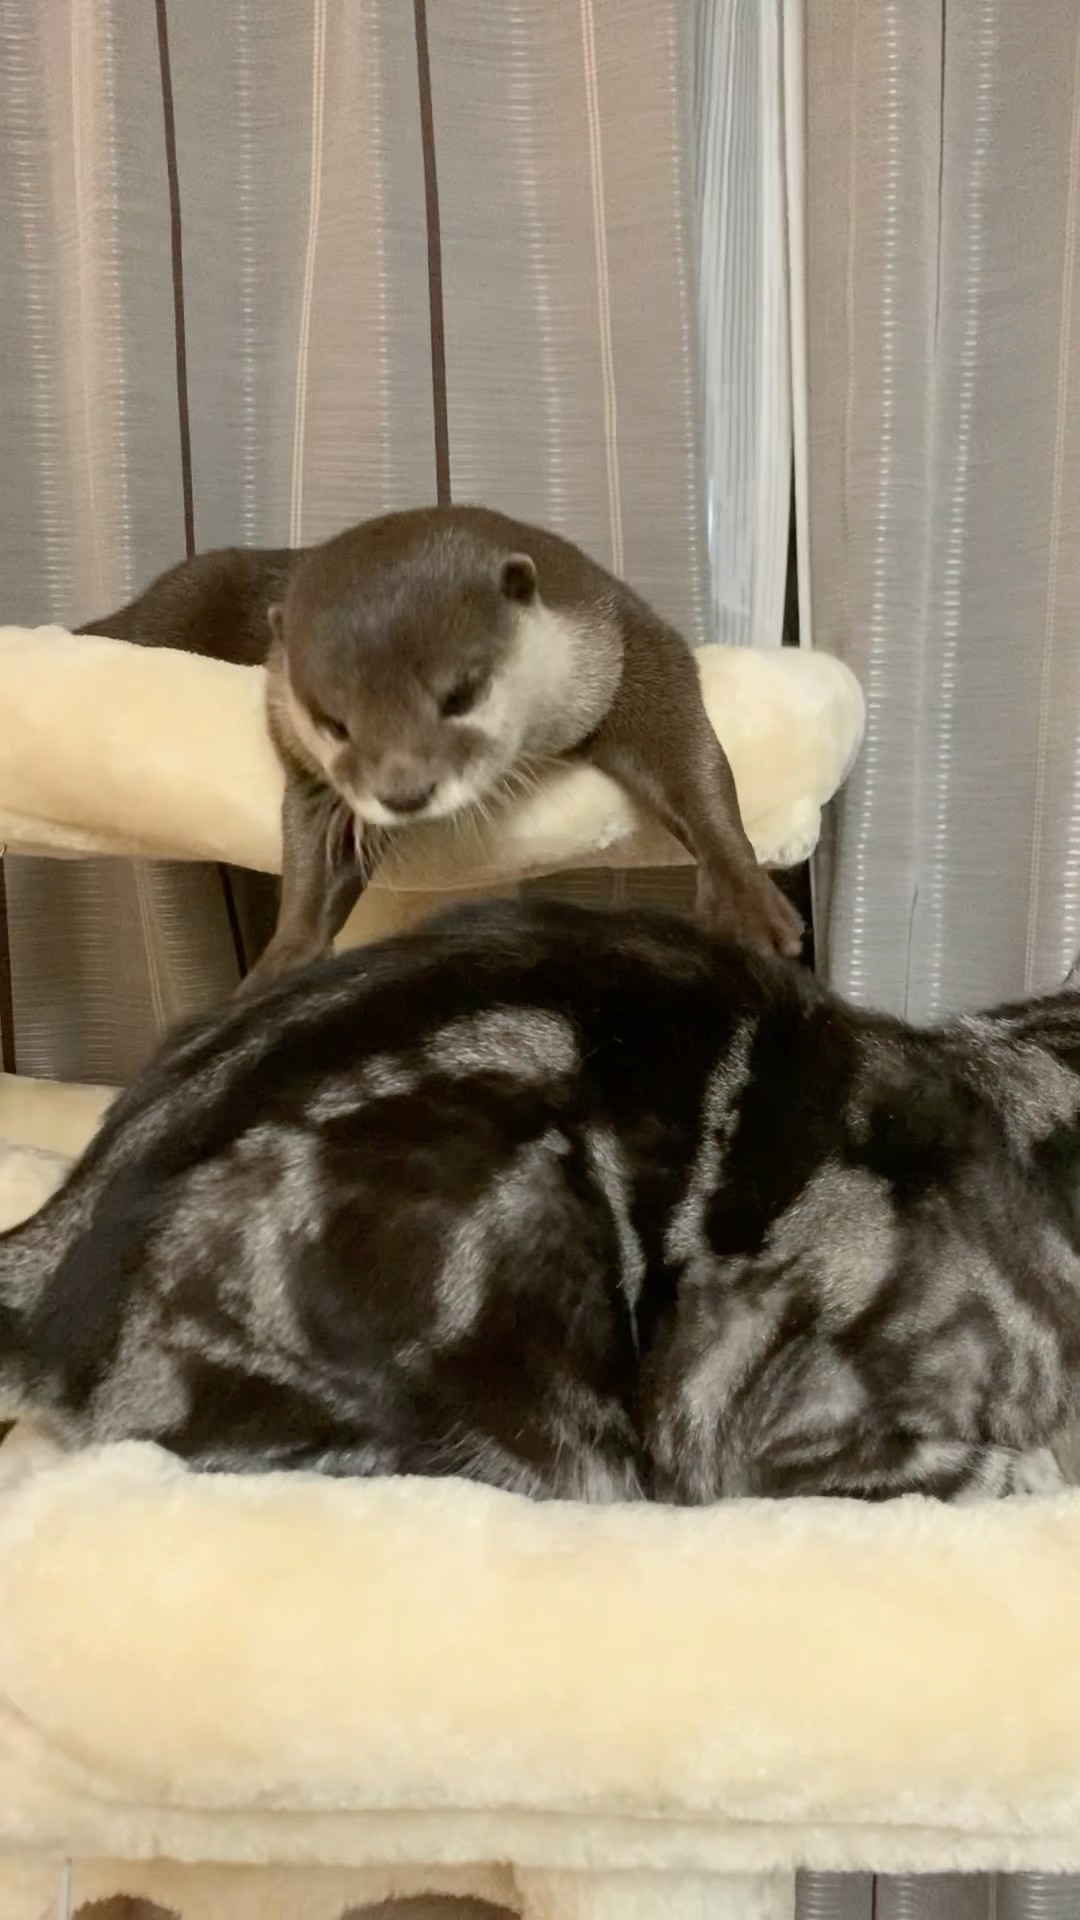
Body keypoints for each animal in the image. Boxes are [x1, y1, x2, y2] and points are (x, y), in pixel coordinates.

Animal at [79, 505, 802, 987]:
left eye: (461, 694)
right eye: (333, 721)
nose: (403, 791)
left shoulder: (624, 640)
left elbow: (689, 757)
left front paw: (743, 893)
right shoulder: (301, 751)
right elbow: (311, 852)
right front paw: (283, 958)